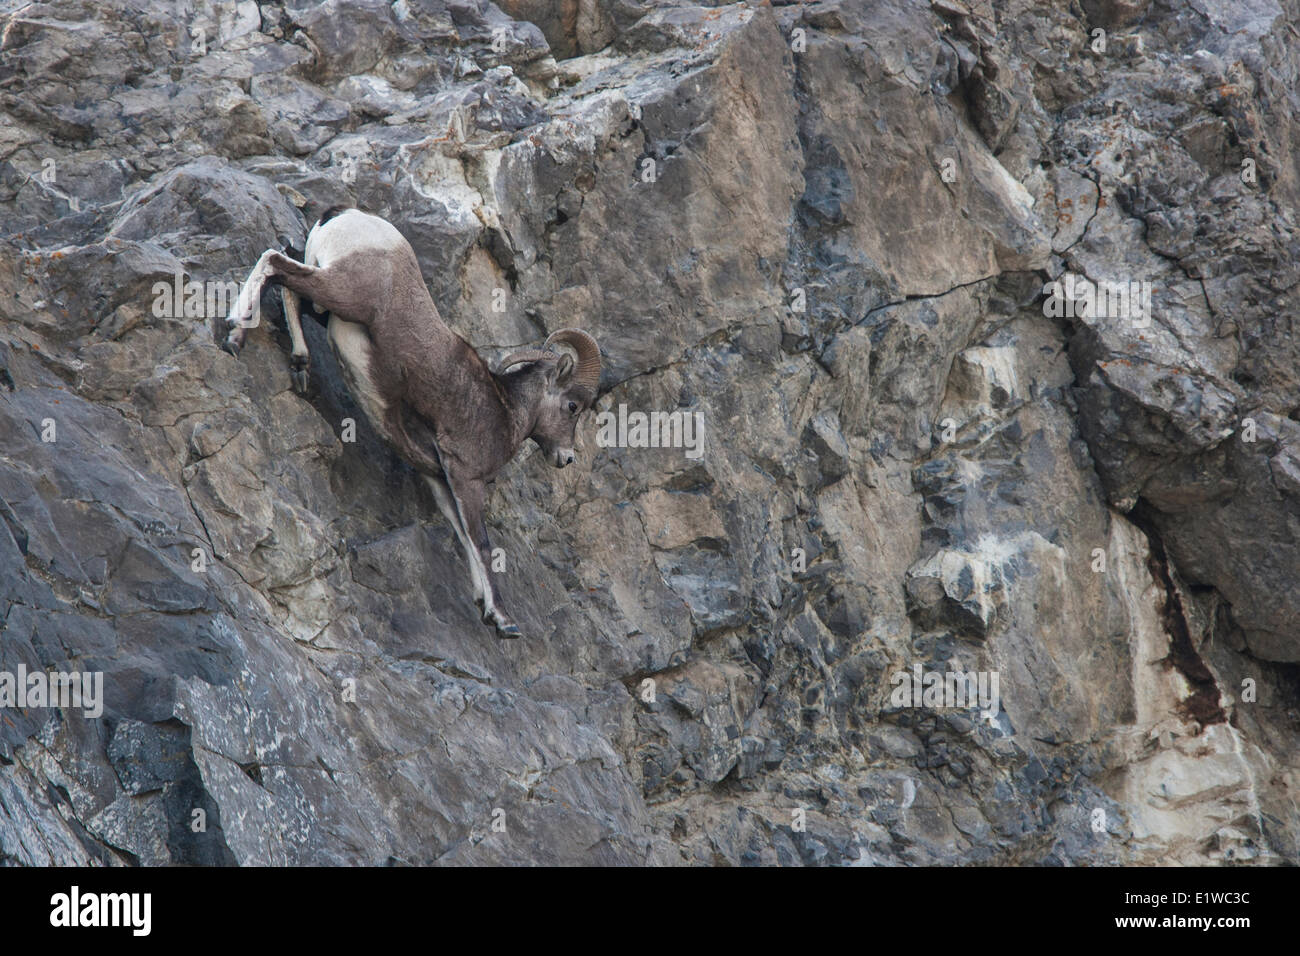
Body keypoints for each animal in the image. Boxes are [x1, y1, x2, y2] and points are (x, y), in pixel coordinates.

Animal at [223, 209, 603, 642]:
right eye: (573, 406)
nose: (566, 458)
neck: (503, 409)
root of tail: (346, 216)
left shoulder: (438, 479)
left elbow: (463, 537)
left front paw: (484, 608)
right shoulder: (465, 478)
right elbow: (482, 543)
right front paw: (505, 621)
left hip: (327, 302)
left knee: (291, 287)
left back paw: (299, 364)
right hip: (346, 294)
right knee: (275, 263)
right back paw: (234, 331)